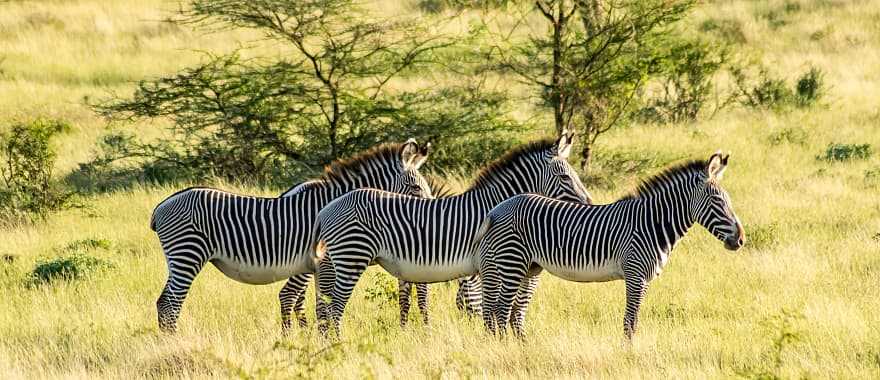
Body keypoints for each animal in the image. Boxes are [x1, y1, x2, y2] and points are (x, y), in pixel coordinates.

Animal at [151, 140, 434, 332]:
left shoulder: (317, 266)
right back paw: (174, 342)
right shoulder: (325, 262)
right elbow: (321, 305)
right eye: (415, 186)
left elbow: (318, 305)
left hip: (179, 259)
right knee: (171, 304)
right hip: (188, 254)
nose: (430, 214)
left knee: (163, 302)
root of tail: (162, 206)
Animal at [308, 134, 592, 336]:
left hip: (338, 260)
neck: (494, 206)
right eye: (565, 177)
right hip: (352, 257)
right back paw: (339, 344)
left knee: (325, 306)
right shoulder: (486, 266)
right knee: (334, 307)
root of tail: (324, 209)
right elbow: (485, 305)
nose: (589, 204)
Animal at [474, 151, 744, 338]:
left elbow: (632, 321)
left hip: (529, 266)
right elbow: (630, 323)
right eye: (717, 201)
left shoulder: (642, 278)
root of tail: (497, 208)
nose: (740, 240)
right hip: (512, 262)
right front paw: (629, 356)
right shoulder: (636, 275)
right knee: (501, 309)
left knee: (508, 311)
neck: (652, 223)